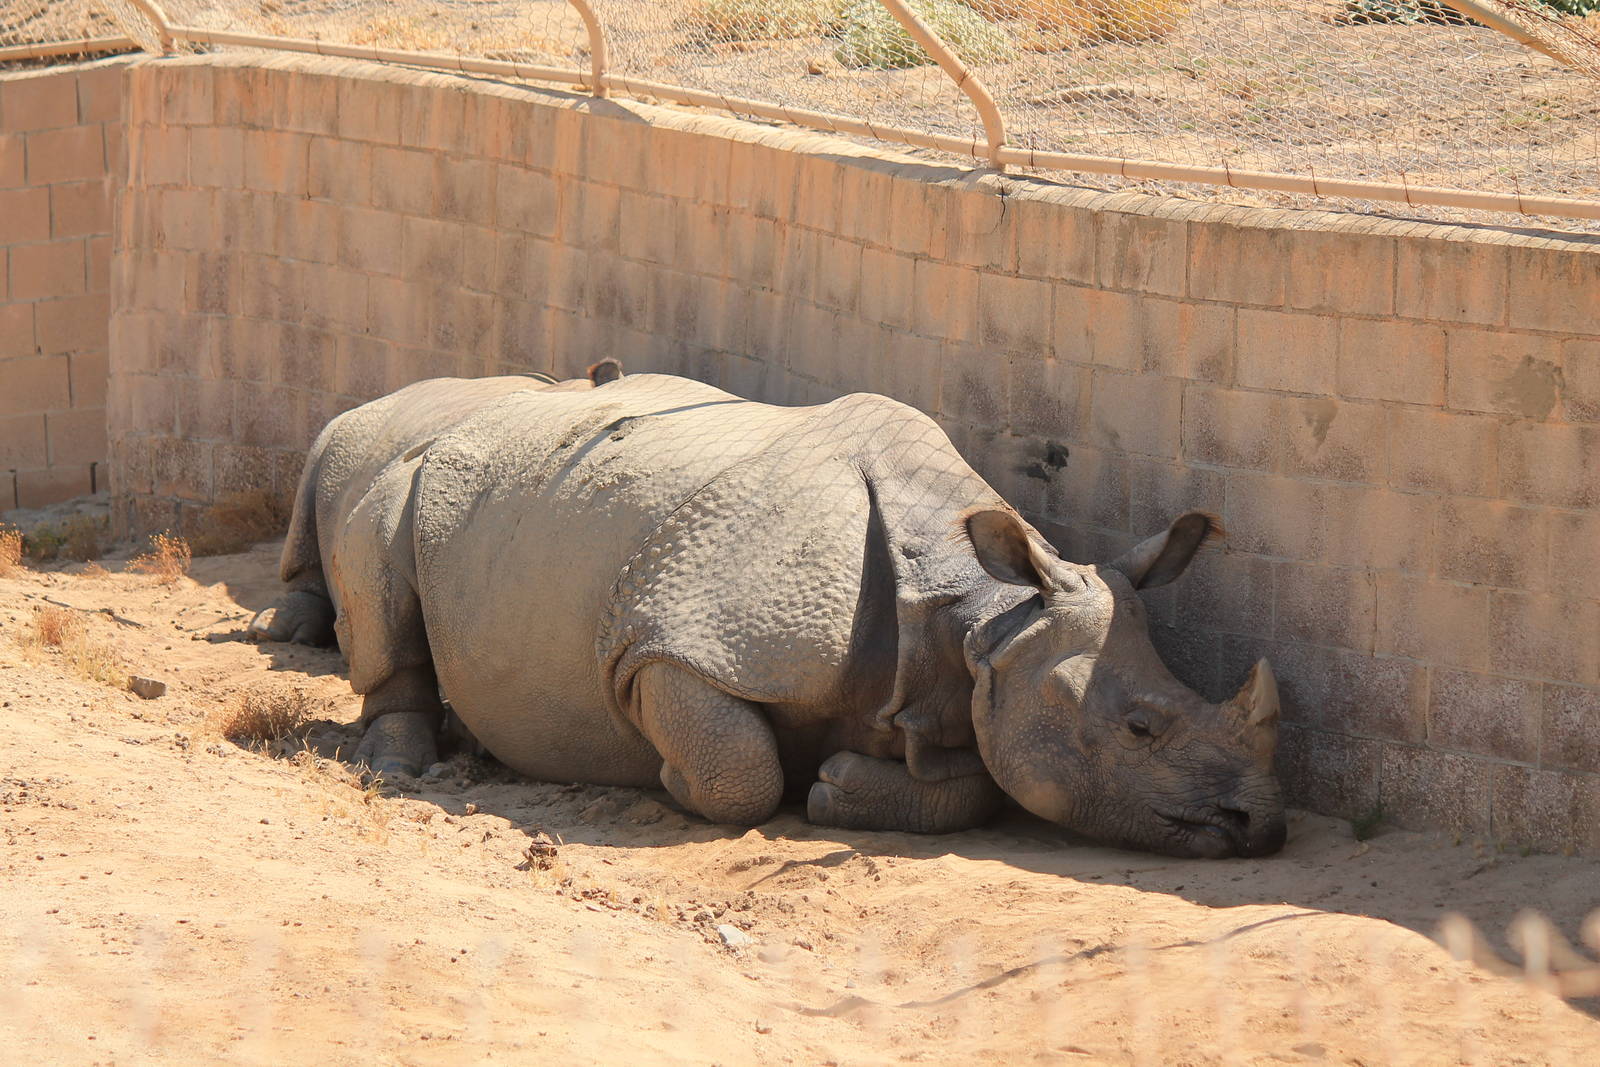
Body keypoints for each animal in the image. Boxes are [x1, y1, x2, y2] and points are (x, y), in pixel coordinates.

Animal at [250, 368, 1285, 858]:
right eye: (1140, 729)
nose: (1262, 824)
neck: (979, 614)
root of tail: (477, 405)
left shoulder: (971, 686)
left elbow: (981, 778)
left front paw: (836, 787)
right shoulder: (671, 644)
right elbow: (739, 770)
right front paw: (678, 780)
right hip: (404, 468)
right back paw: (401, 766)